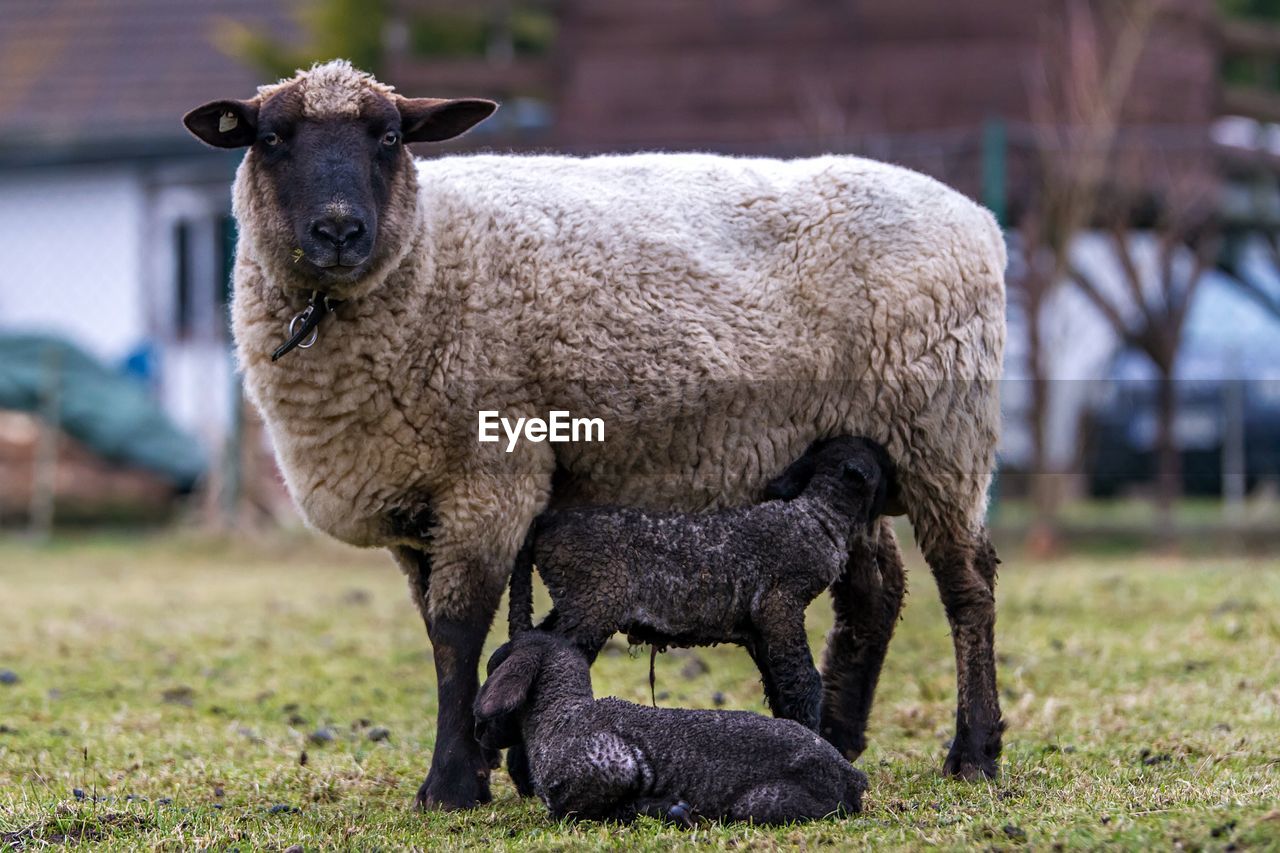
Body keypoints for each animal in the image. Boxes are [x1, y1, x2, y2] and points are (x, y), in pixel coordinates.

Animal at [473, 627, 870, 819]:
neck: (561, 714)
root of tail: (850, 775)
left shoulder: (612, 764)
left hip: (761, 804)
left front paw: (666, 809)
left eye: (492, 668)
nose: (479, 733)